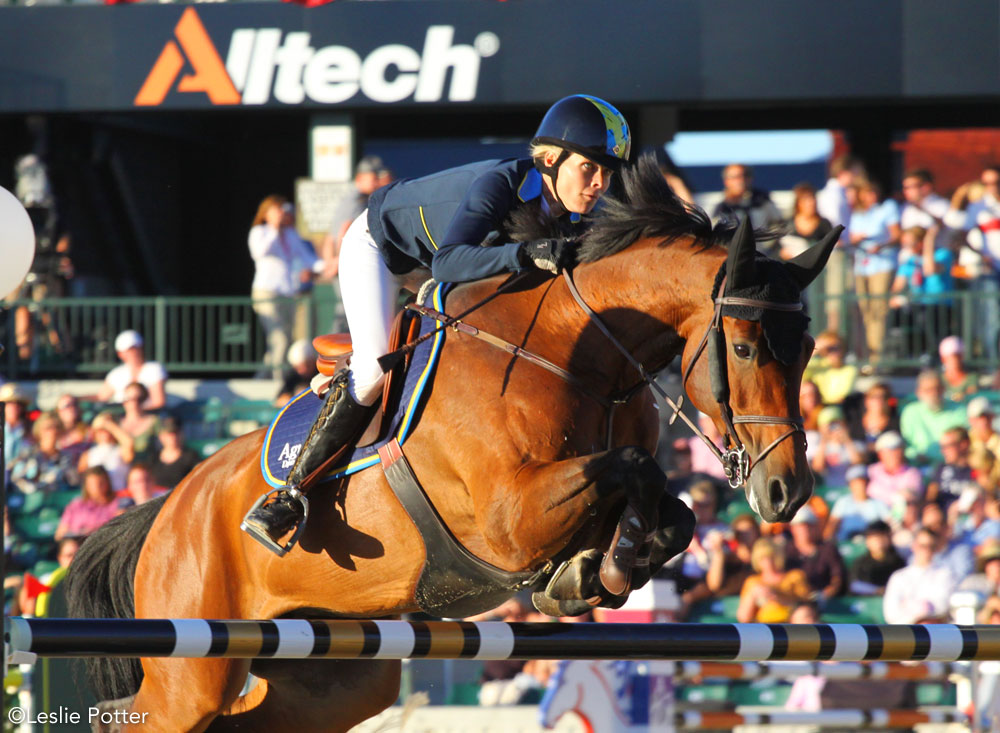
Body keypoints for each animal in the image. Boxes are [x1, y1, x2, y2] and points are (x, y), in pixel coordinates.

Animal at [66, 153, 840, 728]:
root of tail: (170, 507)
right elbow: (631, 470)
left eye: (805, 351)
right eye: (743, 348)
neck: (579, 350)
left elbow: (669, 508)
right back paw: (277, 509)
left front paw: (604, 566)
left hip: (326, 677)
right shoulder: (508, 519)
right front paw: (596, 571)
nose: (786, 491)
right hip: (192, 672)